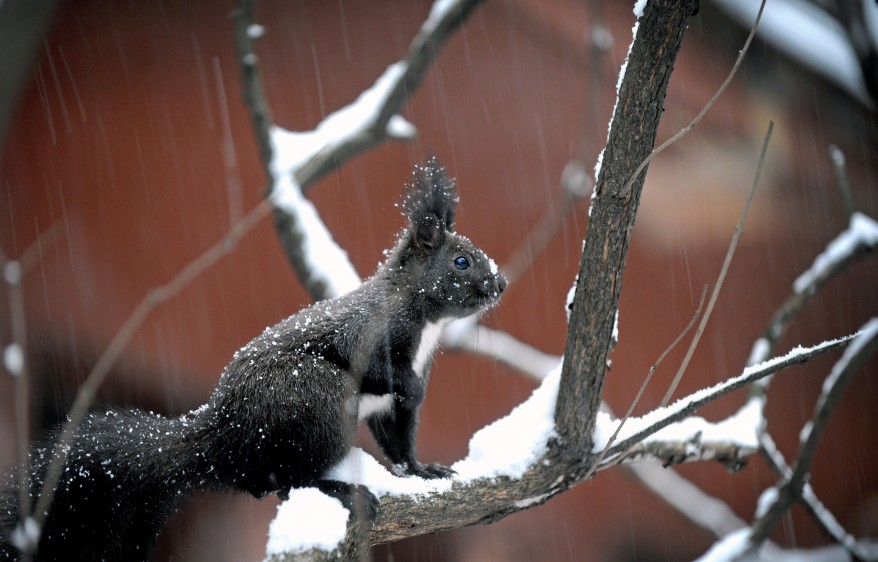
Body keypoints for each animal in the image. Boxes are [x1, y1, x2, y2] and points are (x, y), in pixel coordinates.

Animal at [0, 154, 508, 560]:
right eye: (461, 261)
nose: (499, 284)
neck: (425, 322)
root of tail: (224, 436)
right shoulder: (369, 334)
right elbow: (380, 372)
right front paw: (413, 397)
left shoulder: (395, 408)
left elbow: (400, 441)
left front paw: (423, 471)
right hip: (314, 401)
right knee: (286, 479)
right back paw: (340, 488)